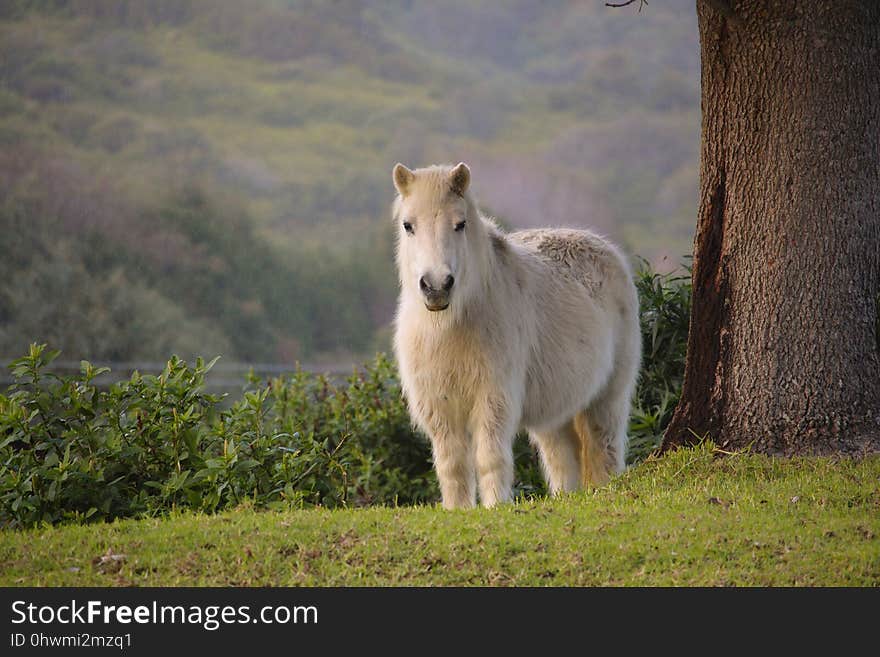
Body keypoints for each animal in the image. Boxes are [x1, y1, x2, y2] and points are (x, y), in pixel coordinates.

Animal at [392, 163, 640, 508]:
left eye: (460, 224)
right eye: (408, 225)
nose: (437, 286)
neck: (450, 327)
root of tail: (606, 249)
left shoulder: (493, 398)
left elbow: (489, 458)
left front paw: (496, 506)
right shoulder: (439, 407)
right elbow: (452, 466)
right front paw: (458, 510)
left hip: (607, 398)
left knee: (605, 450)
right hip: (555, 414)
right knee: (563, 459)